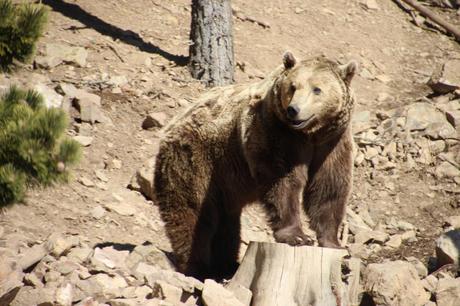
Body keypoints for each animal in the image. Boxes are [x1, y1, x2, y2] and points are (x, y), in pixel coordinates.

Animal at [155, 52, 360, 280]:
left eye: (317, 89)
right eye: (293, 86)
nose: (293, 110)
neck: (310, 134)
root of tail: (173, 124)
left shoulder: (332, 142)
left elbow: (329, 187)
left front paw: (333, 243)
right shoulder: (274, 132)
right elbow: (282, 180)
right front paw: (297, 236)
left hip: (226, 181)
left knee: (227, 222)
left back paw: (226, 265)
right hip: (196, 158)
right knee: (194, 211)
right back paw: (196, 267)